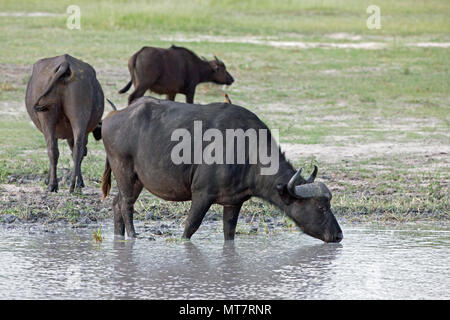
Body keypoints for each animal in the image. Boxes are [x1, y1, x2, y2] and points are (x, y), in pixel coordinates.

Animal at [25, 54, 104, 192]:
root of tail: (65, 64)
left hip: (47, 118)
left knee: (56, 150)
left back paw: (55, 184)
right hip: (78, 116)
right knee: (75, 150)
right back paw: (71, 185)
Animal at [100, 97, 342, 242]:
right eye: (321, 207)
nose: (338, 235)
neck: (246, 152)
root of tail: (112, 116)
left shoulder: (233, 202)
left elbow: (229, 232)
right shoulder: (202, 195)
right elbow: (190, 227)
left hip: (136, 180)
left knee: (116, 204)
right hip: (125, 172)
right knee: (126, 205)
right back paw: (133, 236)